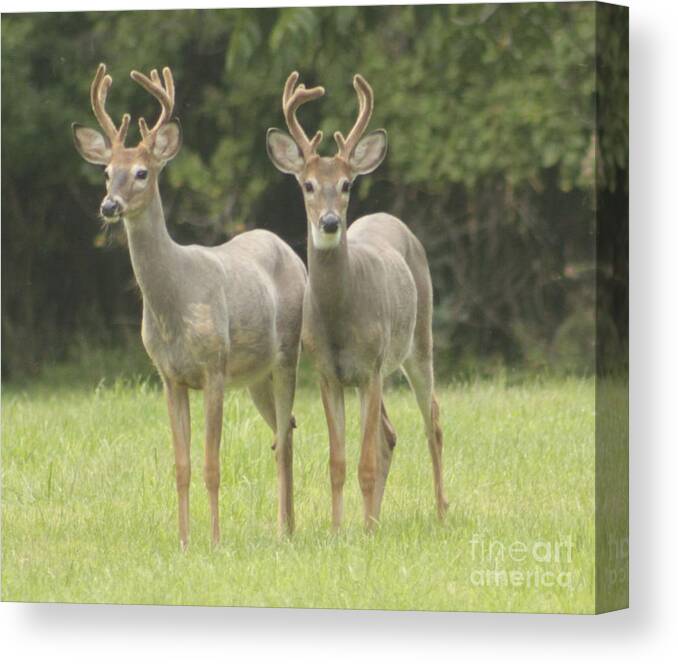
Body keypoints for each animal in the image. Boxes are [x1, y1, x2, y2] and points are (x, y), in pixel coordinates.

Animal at [73, 65, 306, 548]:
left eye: (142, 172)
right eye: (106, 171)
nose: (109, 205)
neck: (173, 304)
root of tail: (288, 250)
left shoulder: (213, 368)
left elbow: (212, 464)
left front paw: (214, 541)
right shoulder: (169, 376)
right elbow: (181, 465)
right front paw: (183, 542)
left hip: (287, 353)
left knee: (285, 436)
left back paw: (283, 530)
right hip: (255, 376)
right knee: (285, 431)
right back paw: (289, 526)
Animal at [266, 71, 452, 528]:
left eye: (347, 184)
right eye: (308, 184)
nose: (331, 222)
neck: (338, 317)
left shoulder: (369, 368)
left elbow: (365, 461)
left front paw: (364, 531)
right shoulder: (328, 373)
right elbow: (337, 461)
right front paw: (339, 529)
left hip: (417, 341)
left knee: (433, 419)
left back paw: (440, 511)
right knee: (390, 434)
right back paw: (377, 517)